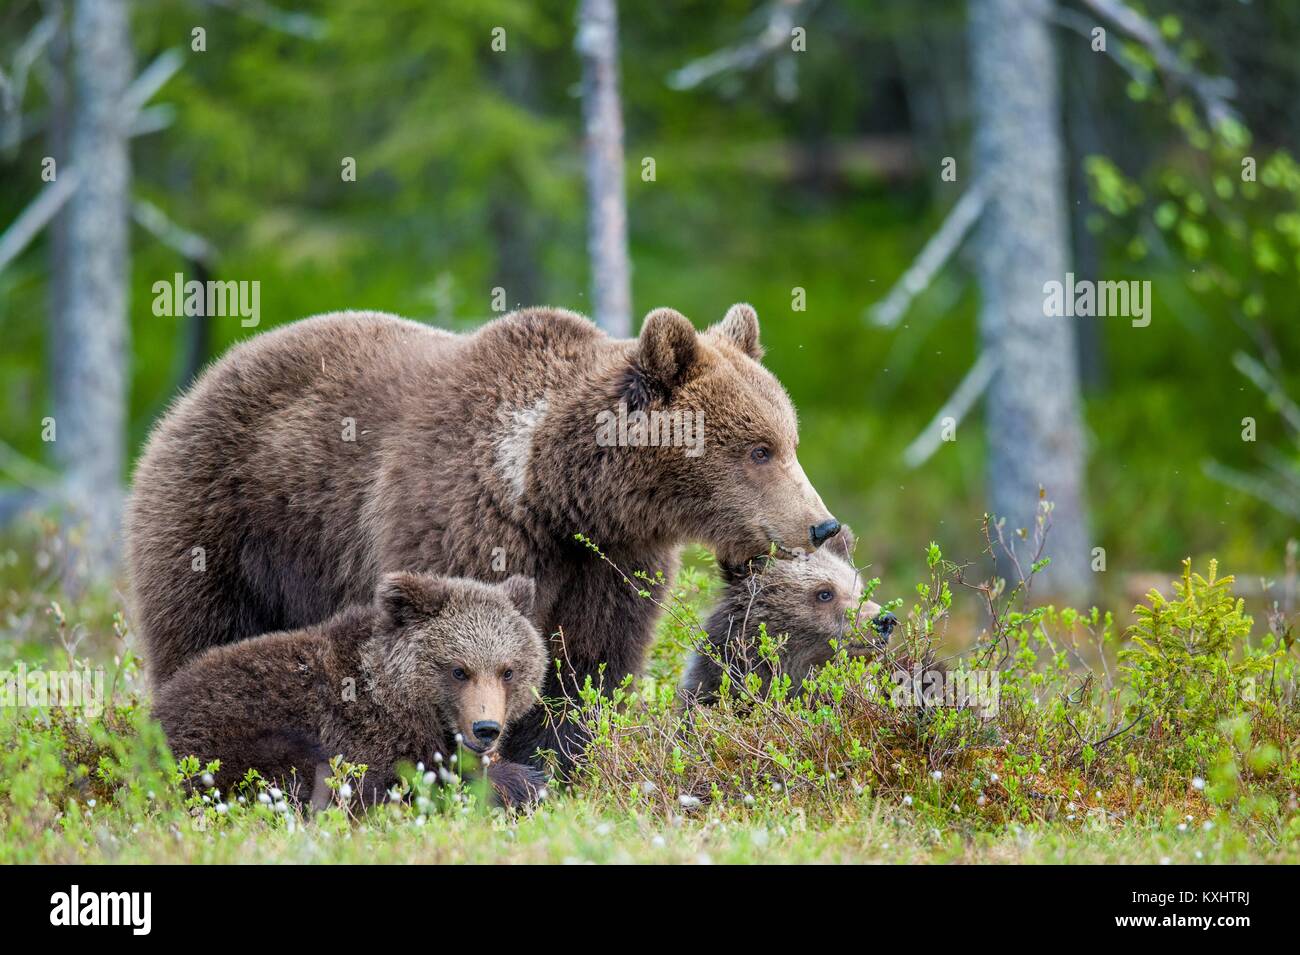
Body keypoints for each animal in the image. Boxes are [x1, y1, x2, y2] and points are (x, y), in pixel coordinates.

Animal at [126, 303, 841, 773]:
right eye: (759, 449)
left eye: (790, 439)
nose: (823, 524)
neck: (552, 492)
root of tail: (204, 380)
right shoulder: (465, 525)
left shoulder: (610, 563)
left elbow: (586, 667)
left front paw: (555, 764)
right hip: (227, 525)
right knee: (202, 631)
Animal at [152, 572, 549, 808]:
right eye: (458, 670)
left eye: (508, 671)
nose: (486, 729)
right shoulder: (364, 731)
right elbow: (402, 779)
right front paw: (524, 780)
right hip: (221, 743)